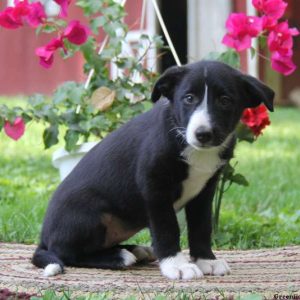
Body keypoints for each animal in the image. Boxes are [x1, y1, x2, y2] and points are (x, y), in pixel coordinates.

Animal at [31, 59, 274, 280]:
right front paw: (177, 265)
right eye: (188, 98)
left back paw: (135, 250)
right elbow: (167, 228)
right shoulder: (154, 187)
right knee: (66, 252)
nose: (203, 134)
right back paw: (119, 257)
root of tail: (43, 238)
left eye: (225, 100)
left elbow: (202, 226)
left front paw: (206, 260)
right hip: (89, 212)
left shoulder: (205, 190)